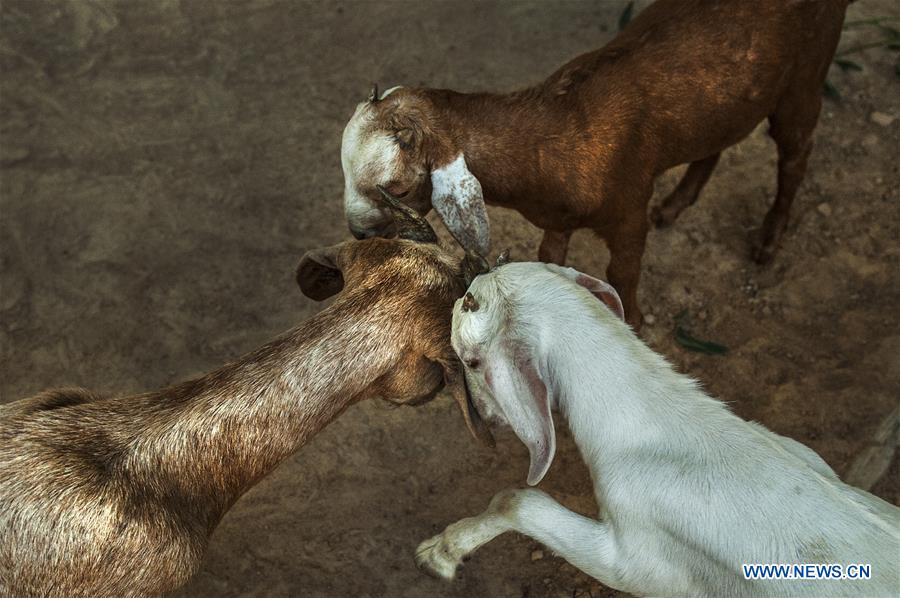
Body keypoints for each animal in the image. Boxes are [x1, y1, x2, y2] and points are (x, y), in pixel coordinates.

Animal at [342, 0, 856, 328]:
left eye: (398, 188)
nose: (358, 233)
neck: (554, 131)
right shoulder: (557, 218)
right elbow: (550, 258)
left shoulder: (628, 212)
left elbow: (623, 275)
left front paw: (635, 326)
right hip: (728, 98)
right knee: (716, 141)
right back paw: (677, 205)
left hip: (806, 75)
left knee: (796, 152)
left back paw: (769, 240)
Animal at [414, 264, 900, 598]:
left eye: (471, 359)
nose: (485, 416)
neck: (661, 421)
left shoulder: (639, 561)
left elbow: (517, 499)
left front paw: (441, 553)